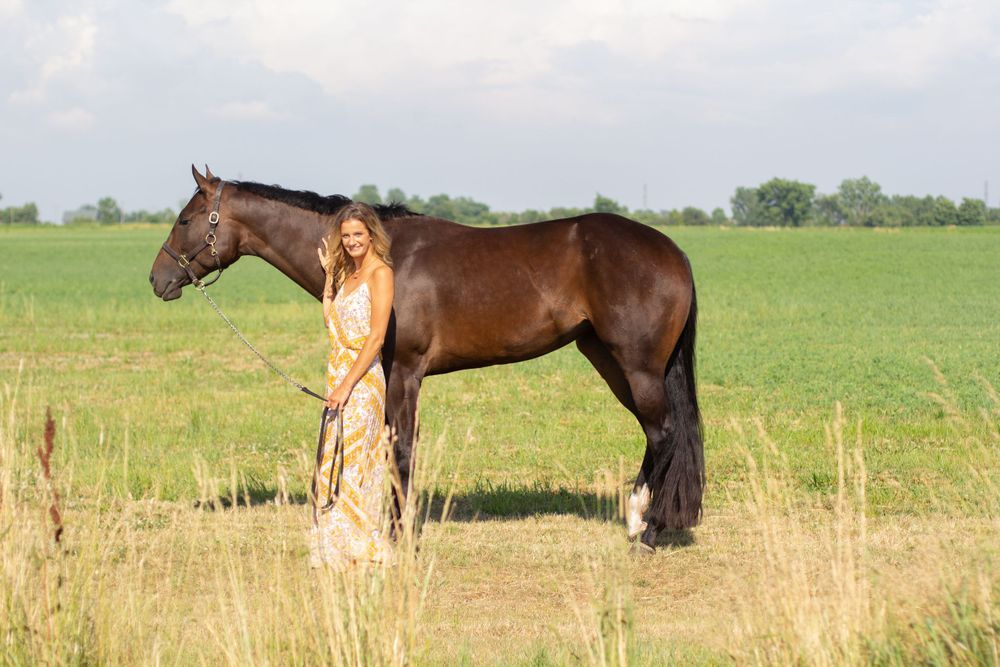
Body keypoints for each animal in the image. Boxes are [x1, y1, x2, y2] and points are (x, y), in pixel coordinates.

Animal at [149, 166, 703, 551]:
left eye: (185, 219)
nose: (157, 279)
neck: (385, 257)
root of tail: (673, 250)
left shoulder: (405, 373)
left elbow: (401, 452)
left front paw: (400, 535)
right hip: (609, 359)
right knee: (657, 434)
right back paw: (636, 518)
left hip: (636, 366)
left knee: (664, 432)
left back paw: (649, 532)